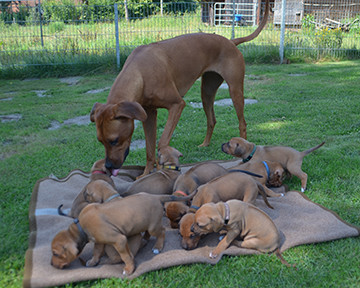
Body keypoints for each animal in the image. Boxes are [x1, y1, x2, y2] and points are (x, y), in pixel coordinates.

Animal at [51, 191, 194, 274]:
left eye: (56, 254)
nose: (51, 264)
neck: (80, 227)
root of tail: (155, 196)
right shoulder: (99, 241)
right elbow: (96, 252)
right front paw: (92, 262)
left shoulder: (119, 240)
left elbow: (126, 256)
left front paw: (129, 269)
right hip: (146, 222)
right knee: (147, 232)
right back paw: (145, 240)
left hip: (153, 226)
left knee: (162, 231)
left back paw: (157, 247)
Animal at [90, 0, 270, 178]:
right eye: (100, 141)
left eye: (114, 140)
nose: (108, 166)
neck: (139, 73)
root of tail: (231, 41)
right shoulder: (148, 113)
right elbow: (149, 148)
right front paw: (147, 173)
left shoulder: (177, 105)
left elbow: (162, 142)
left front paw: (161, 166)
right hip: (206, 92)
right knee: (211, 119)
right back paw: (205, 144)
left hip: (235, 90)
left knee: (242, 122)